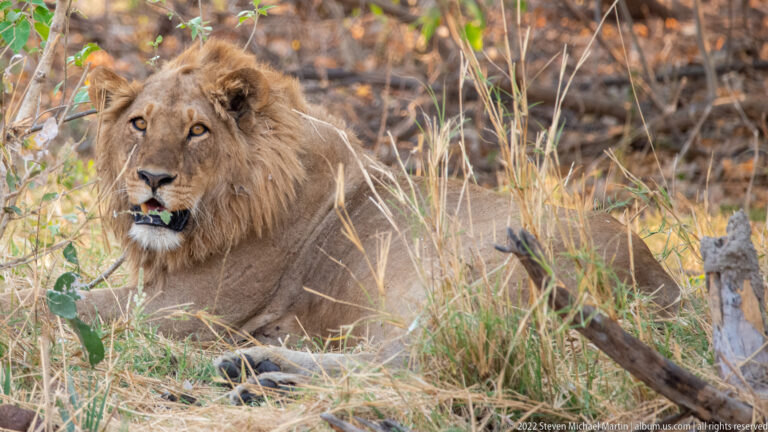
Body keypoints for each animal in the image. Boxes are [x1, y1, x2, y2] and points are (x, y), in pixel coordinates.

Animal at [3, 40, 680, 404]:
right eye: (139, 123)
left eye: (197, 130)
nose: (150, 177)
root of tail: (663, 284)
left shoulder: (193, 309)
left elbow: (50, 303)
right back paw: (254, 371)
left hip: (464, 280)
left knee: (414, 363)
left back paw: (255, 380)